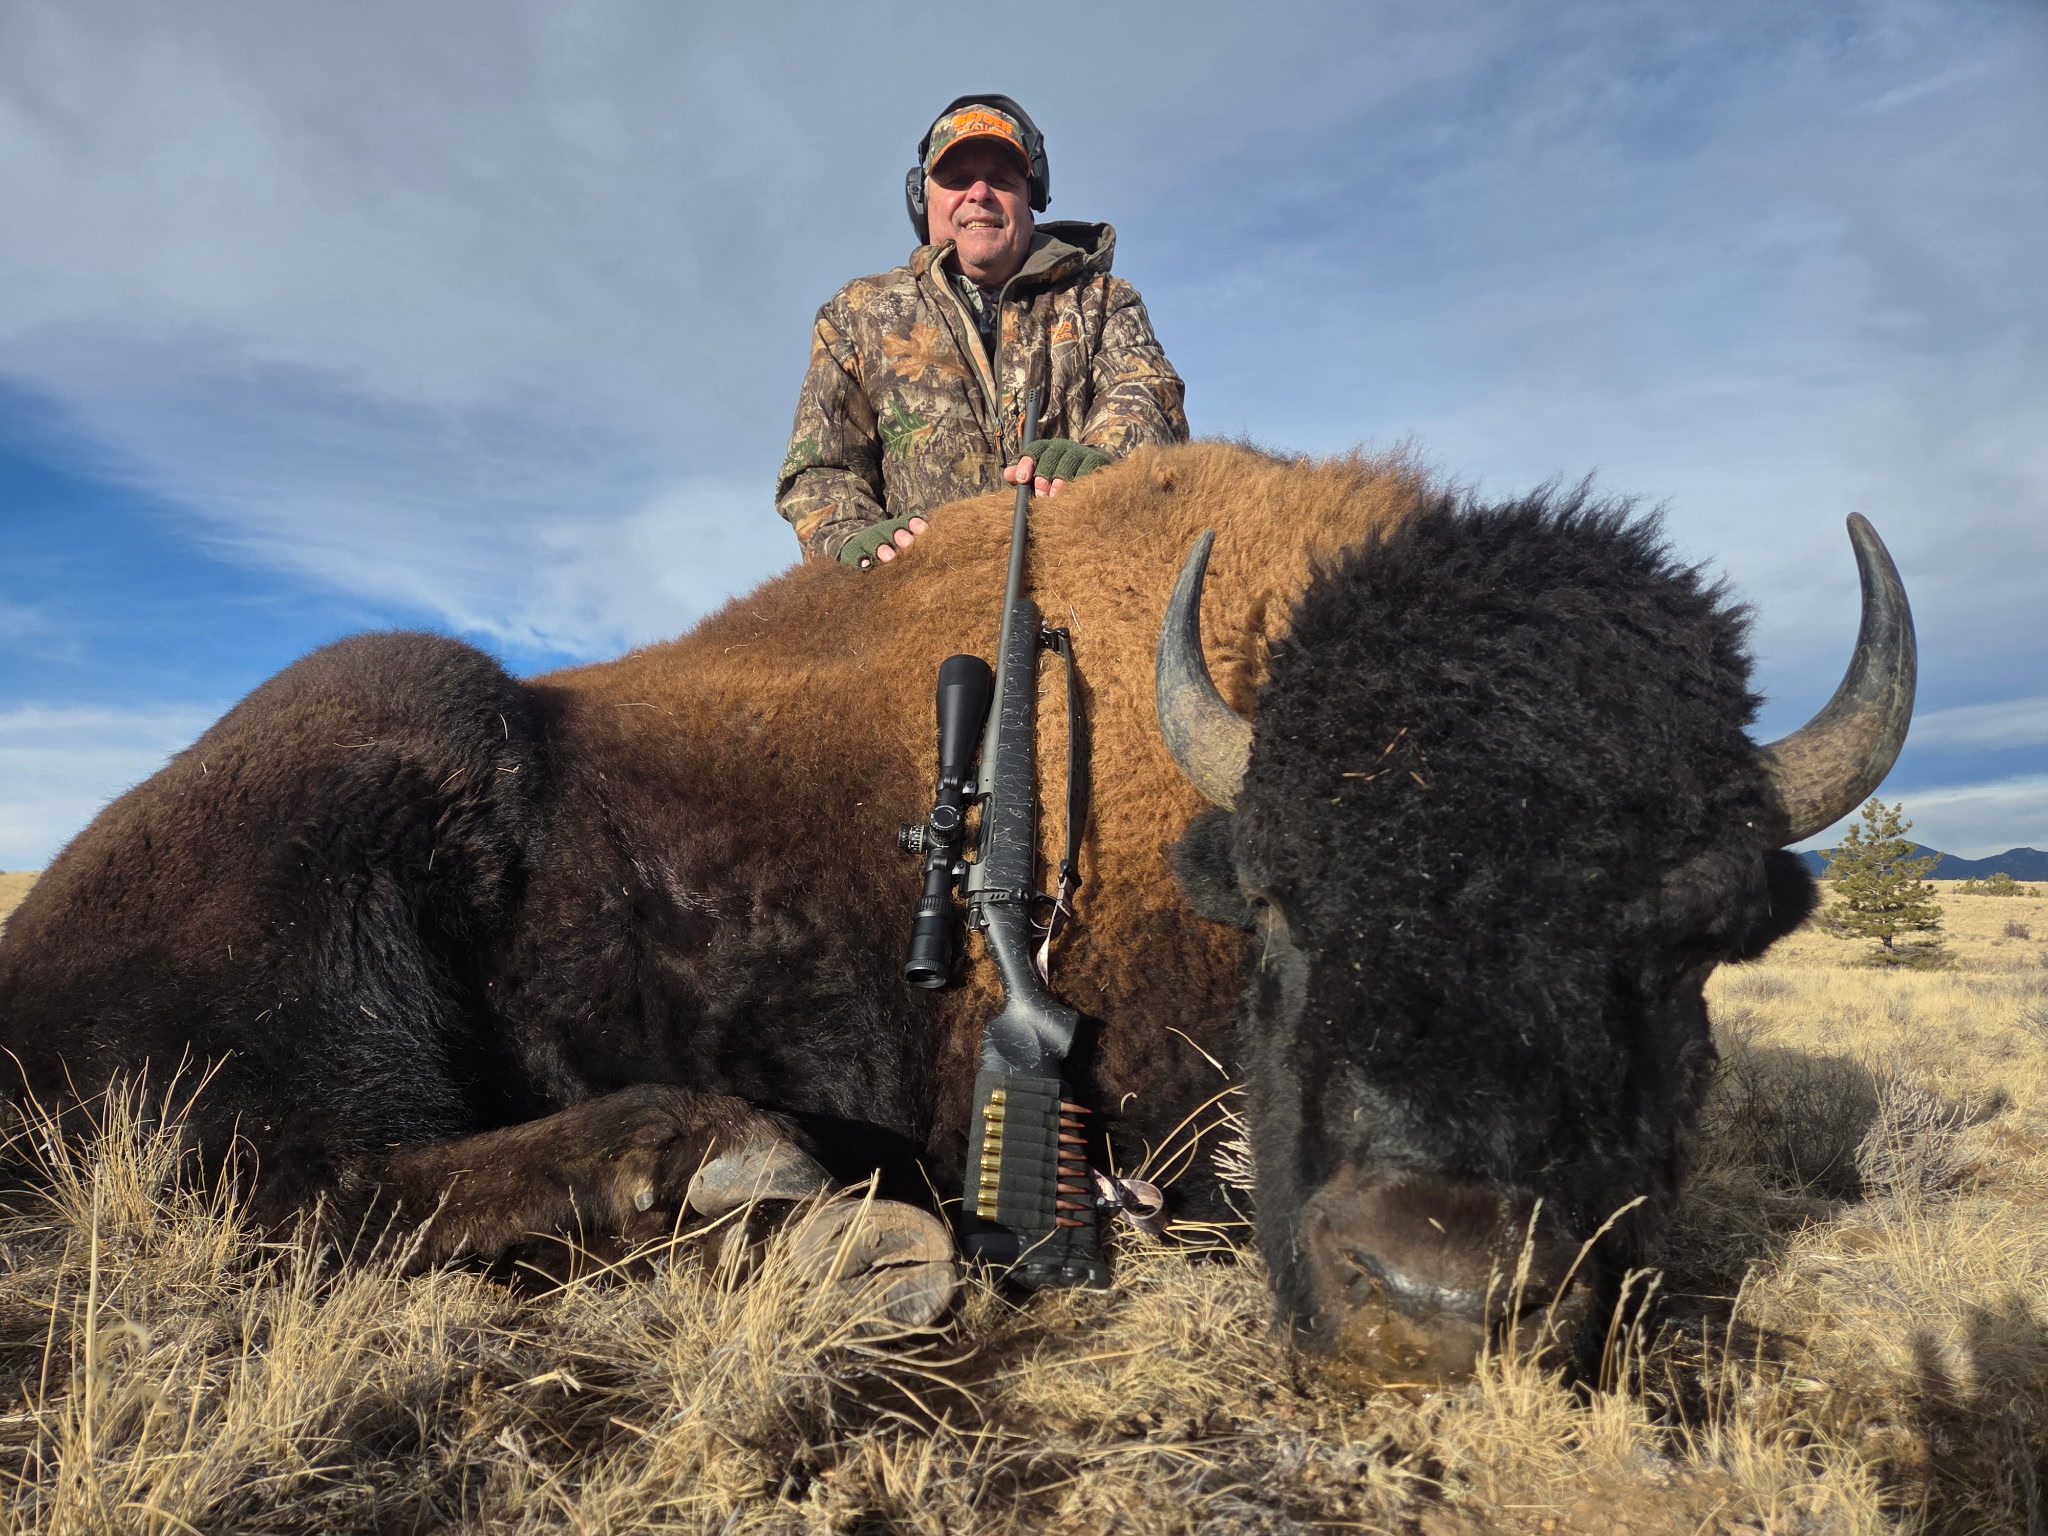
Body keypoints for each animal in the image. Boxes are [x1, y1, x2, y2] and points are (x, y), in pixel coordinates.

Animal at [0, 443, 1912, 1380]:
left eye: (1678, 941)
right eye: (1283, 902)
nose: (1430, 1295)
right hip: (369, 812)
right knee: (285, 1177)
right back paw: (757, 1183)